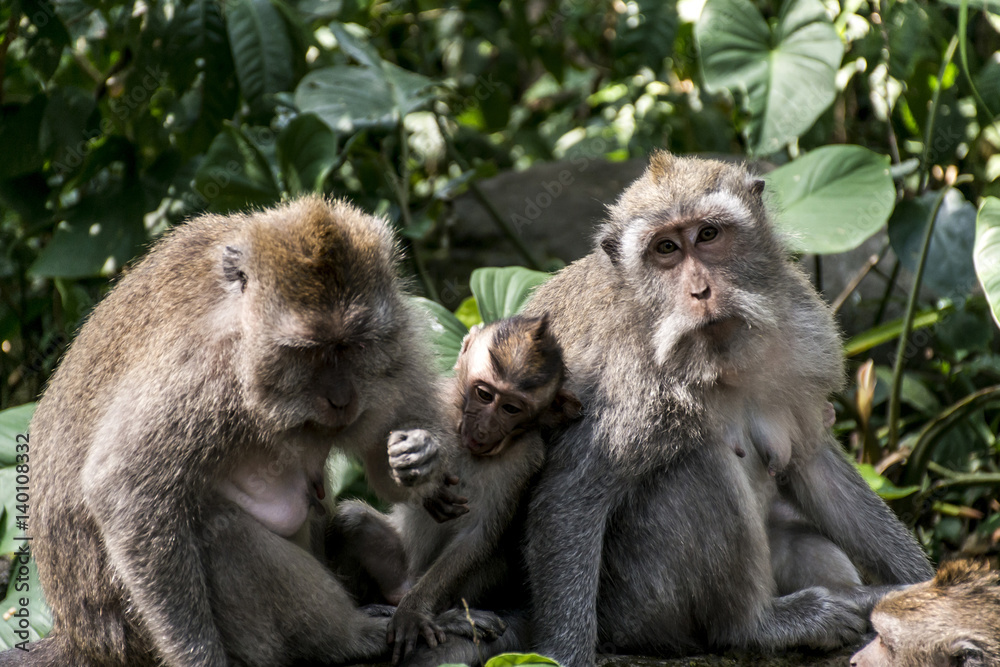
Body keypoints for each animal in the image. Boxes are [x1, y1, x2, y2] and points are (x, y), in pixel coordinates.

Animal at [9, 197, 500, 667]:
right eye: (309, 352)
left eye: (352, 346)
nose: (341, 399)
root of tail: (80, 638)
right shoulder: (202, 368)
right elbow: (123, 489)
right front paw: (199, 658)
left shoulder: (395, 349)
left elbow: (390, 471)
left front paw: (421, 456)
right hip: (134, 637)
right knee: (219, 530)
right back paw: (352, 637)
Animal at [520, 151, 932, 667]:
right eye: (666, 249)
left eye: (708, 235)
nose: (701, 291)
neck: (715, 360)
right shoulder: (623, 383)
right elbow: (571, 496)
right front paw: (565, 652)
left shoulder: (804, 332)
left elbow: (812, 462)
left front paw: (929, 592)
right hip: (641, 611)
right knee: (701, 466)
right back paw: (757, 627)